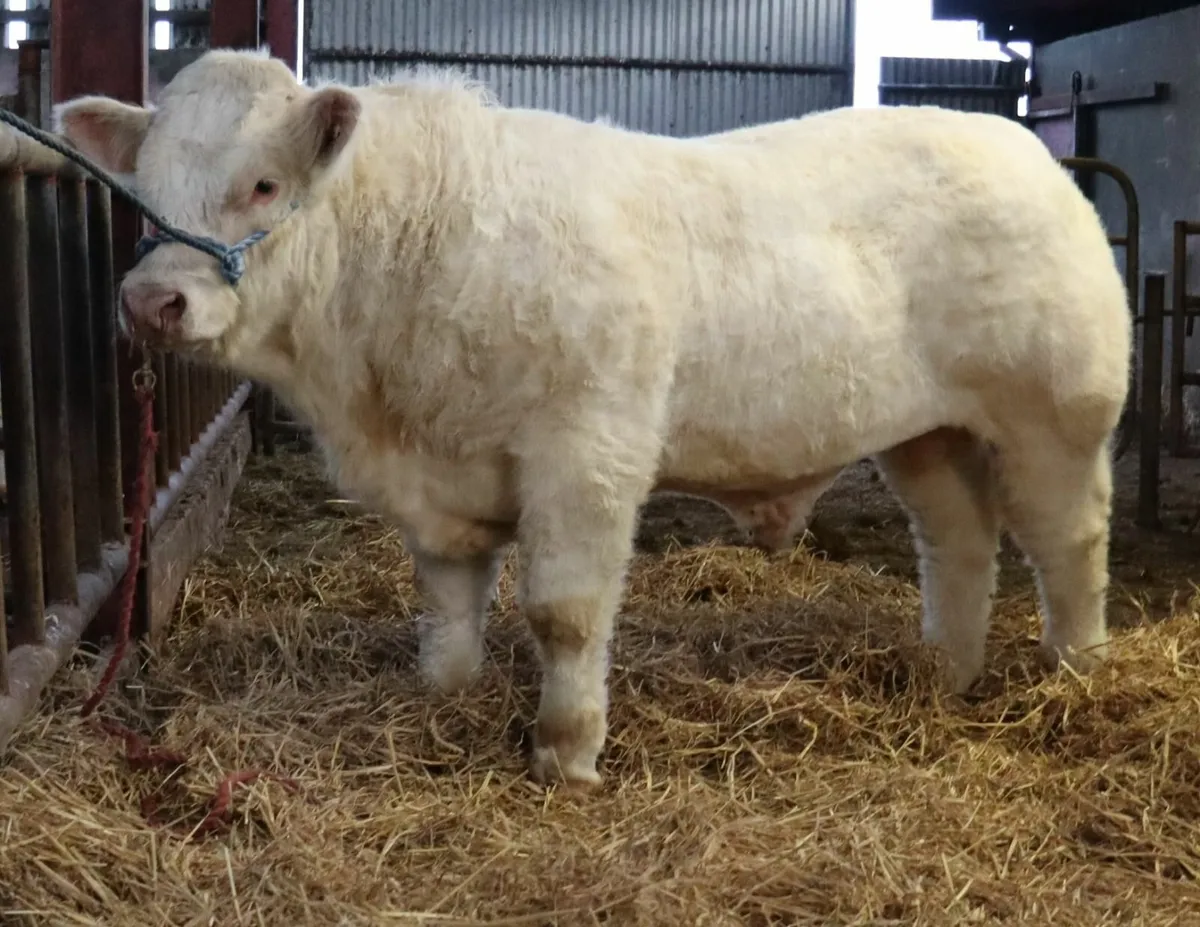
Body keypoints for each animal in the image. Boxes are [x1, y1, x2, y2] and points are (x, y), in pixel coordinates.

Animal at [54, 48, 1131, 788]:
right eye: (144, 194)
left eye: (264, 185)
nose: (152, 302)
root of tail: (1021, 147)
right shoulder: (439, 475)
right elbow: (448, 599)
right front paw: (444, 695)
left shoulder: (587, 451)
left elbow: (564, 614)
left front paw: (565, 755)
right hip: (924, 432)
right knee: (959, 540)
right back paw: (946, 672)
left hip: (1054, 415)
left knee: (1067, 543)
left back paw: (1078, 675)